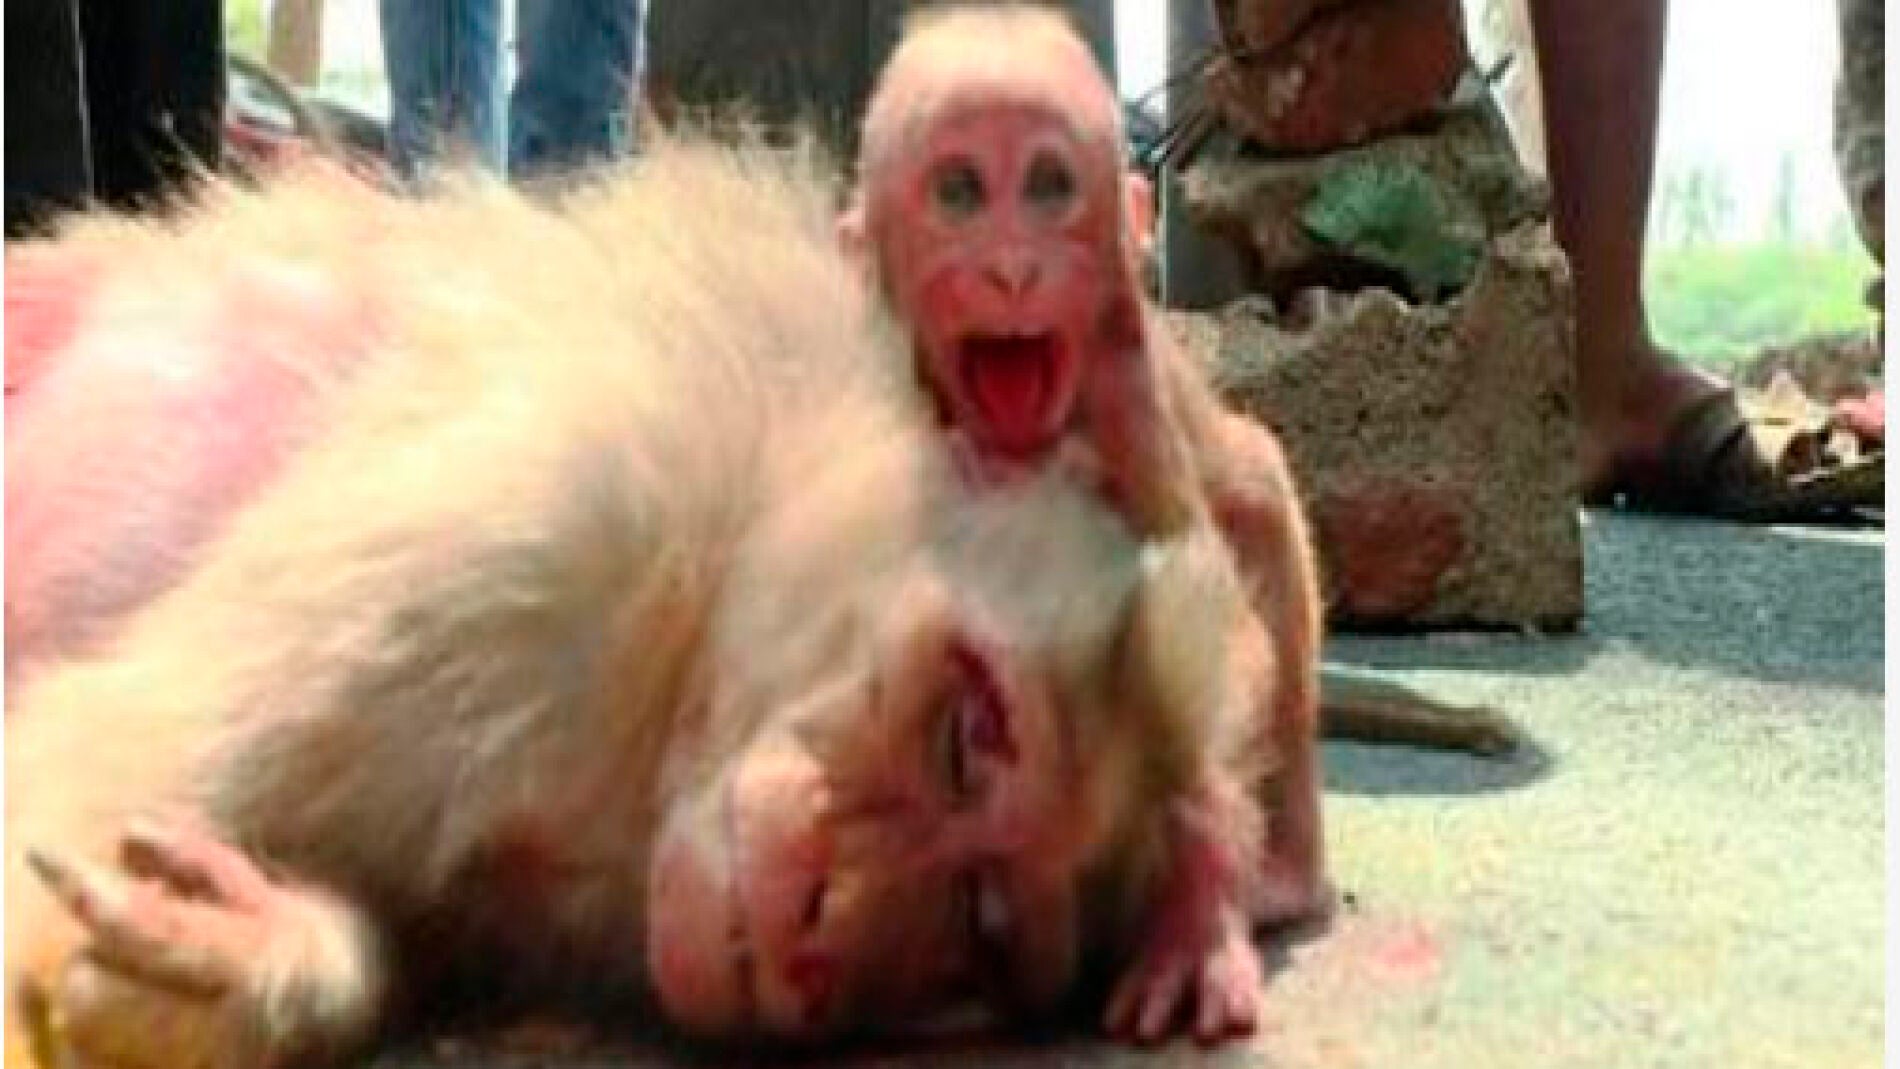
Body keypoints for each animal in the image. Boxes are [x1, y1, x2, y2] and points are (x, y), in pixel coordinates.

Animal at [6, 135, 1287, 1066]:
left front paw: (255, 953)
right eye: (966, 738)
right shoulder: (552, 517)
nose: (828, 920)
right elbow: (89, 748)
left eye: (979, 923)